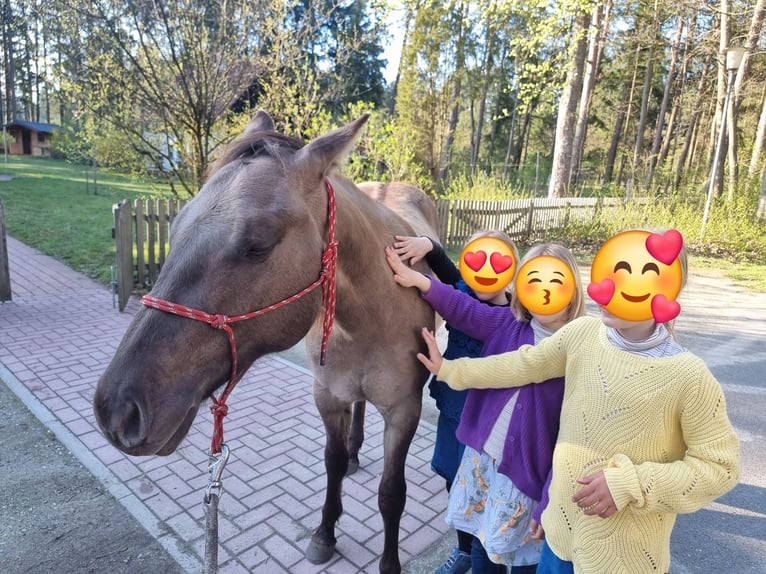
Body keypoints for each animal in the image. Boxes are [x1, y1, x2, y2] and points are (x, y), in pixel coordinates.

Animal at [93, 110, 438, 574]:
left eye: (257, 245)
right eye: (176, 227)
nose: (117, 410)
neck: (369, 315)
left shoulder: (405, 410)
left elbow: (391, 493)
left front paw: (389, 562)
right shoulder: (327, 396)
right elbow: (331, 465)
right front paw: (325, 533)